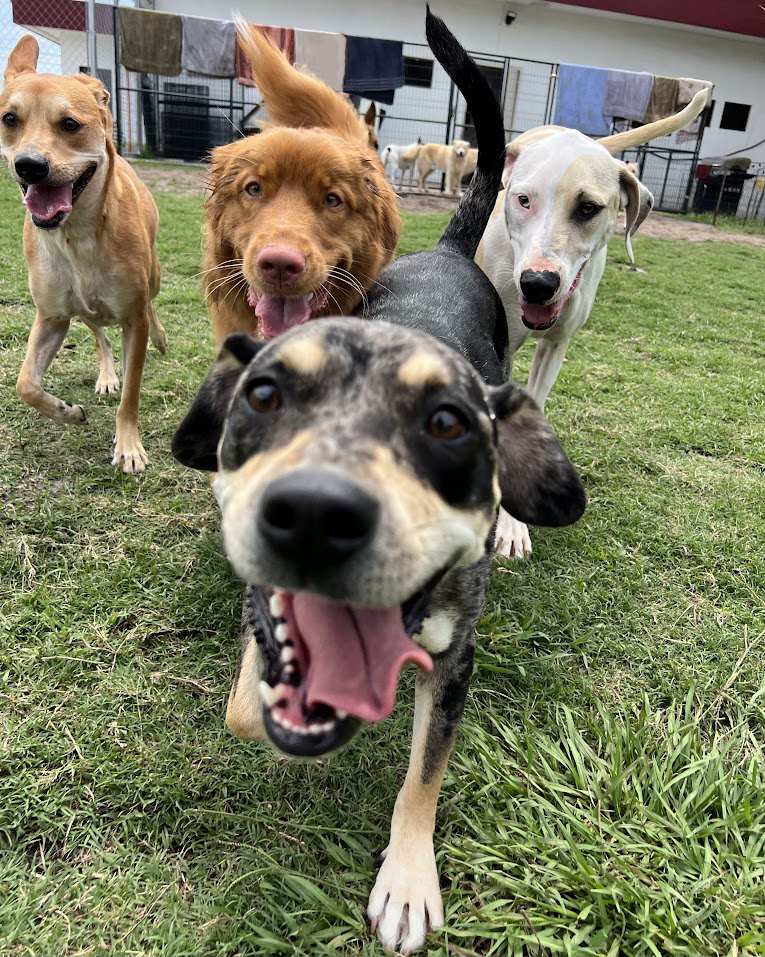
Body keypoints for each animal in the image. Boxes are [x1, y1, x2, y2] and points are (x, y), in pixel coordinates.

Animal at [0, 34, 166, 474]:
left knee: (151, 306)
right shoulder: (51, 316)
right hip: (82, 308)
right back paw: (106, 374)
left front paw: (129, 446)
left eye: (70, 124)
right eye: (10, 119)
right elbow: (25, 383)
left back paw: (159, 337)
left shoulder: (134, 317)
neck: (75, 236)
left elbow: (131, 393)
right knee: (97, 334)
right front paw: (67, 412)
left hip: (154, 276)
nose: (29, 165)